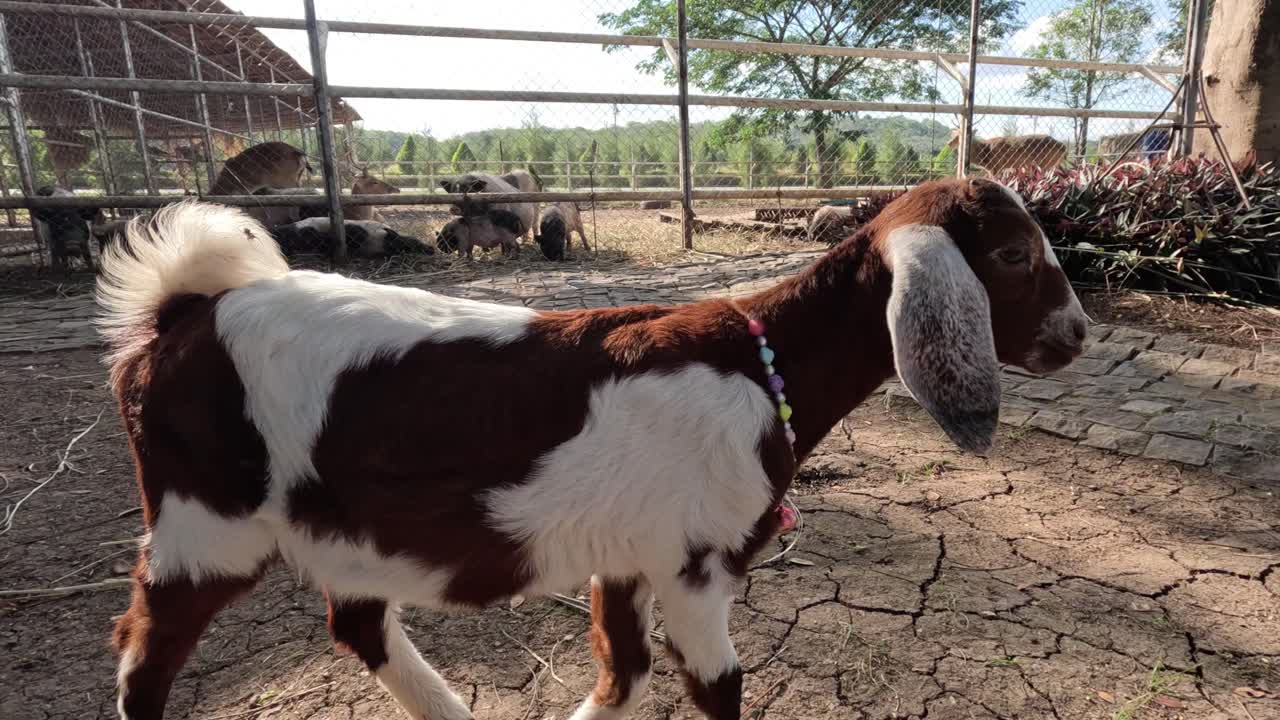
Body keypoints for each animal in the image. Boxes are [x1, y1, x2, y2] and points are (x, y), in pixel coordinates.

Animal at [97, 177, 1088, 720]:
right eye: (1010, 254)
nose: (1076, 335)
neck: (764, 358)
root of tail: (181, 313)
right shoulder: (696, 561)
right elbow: (716, 685)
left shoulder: (629, 554)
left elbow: (626, 673)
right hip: (205, 518)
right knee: (145, 655)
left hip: (342, 525)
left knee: (357, 622)